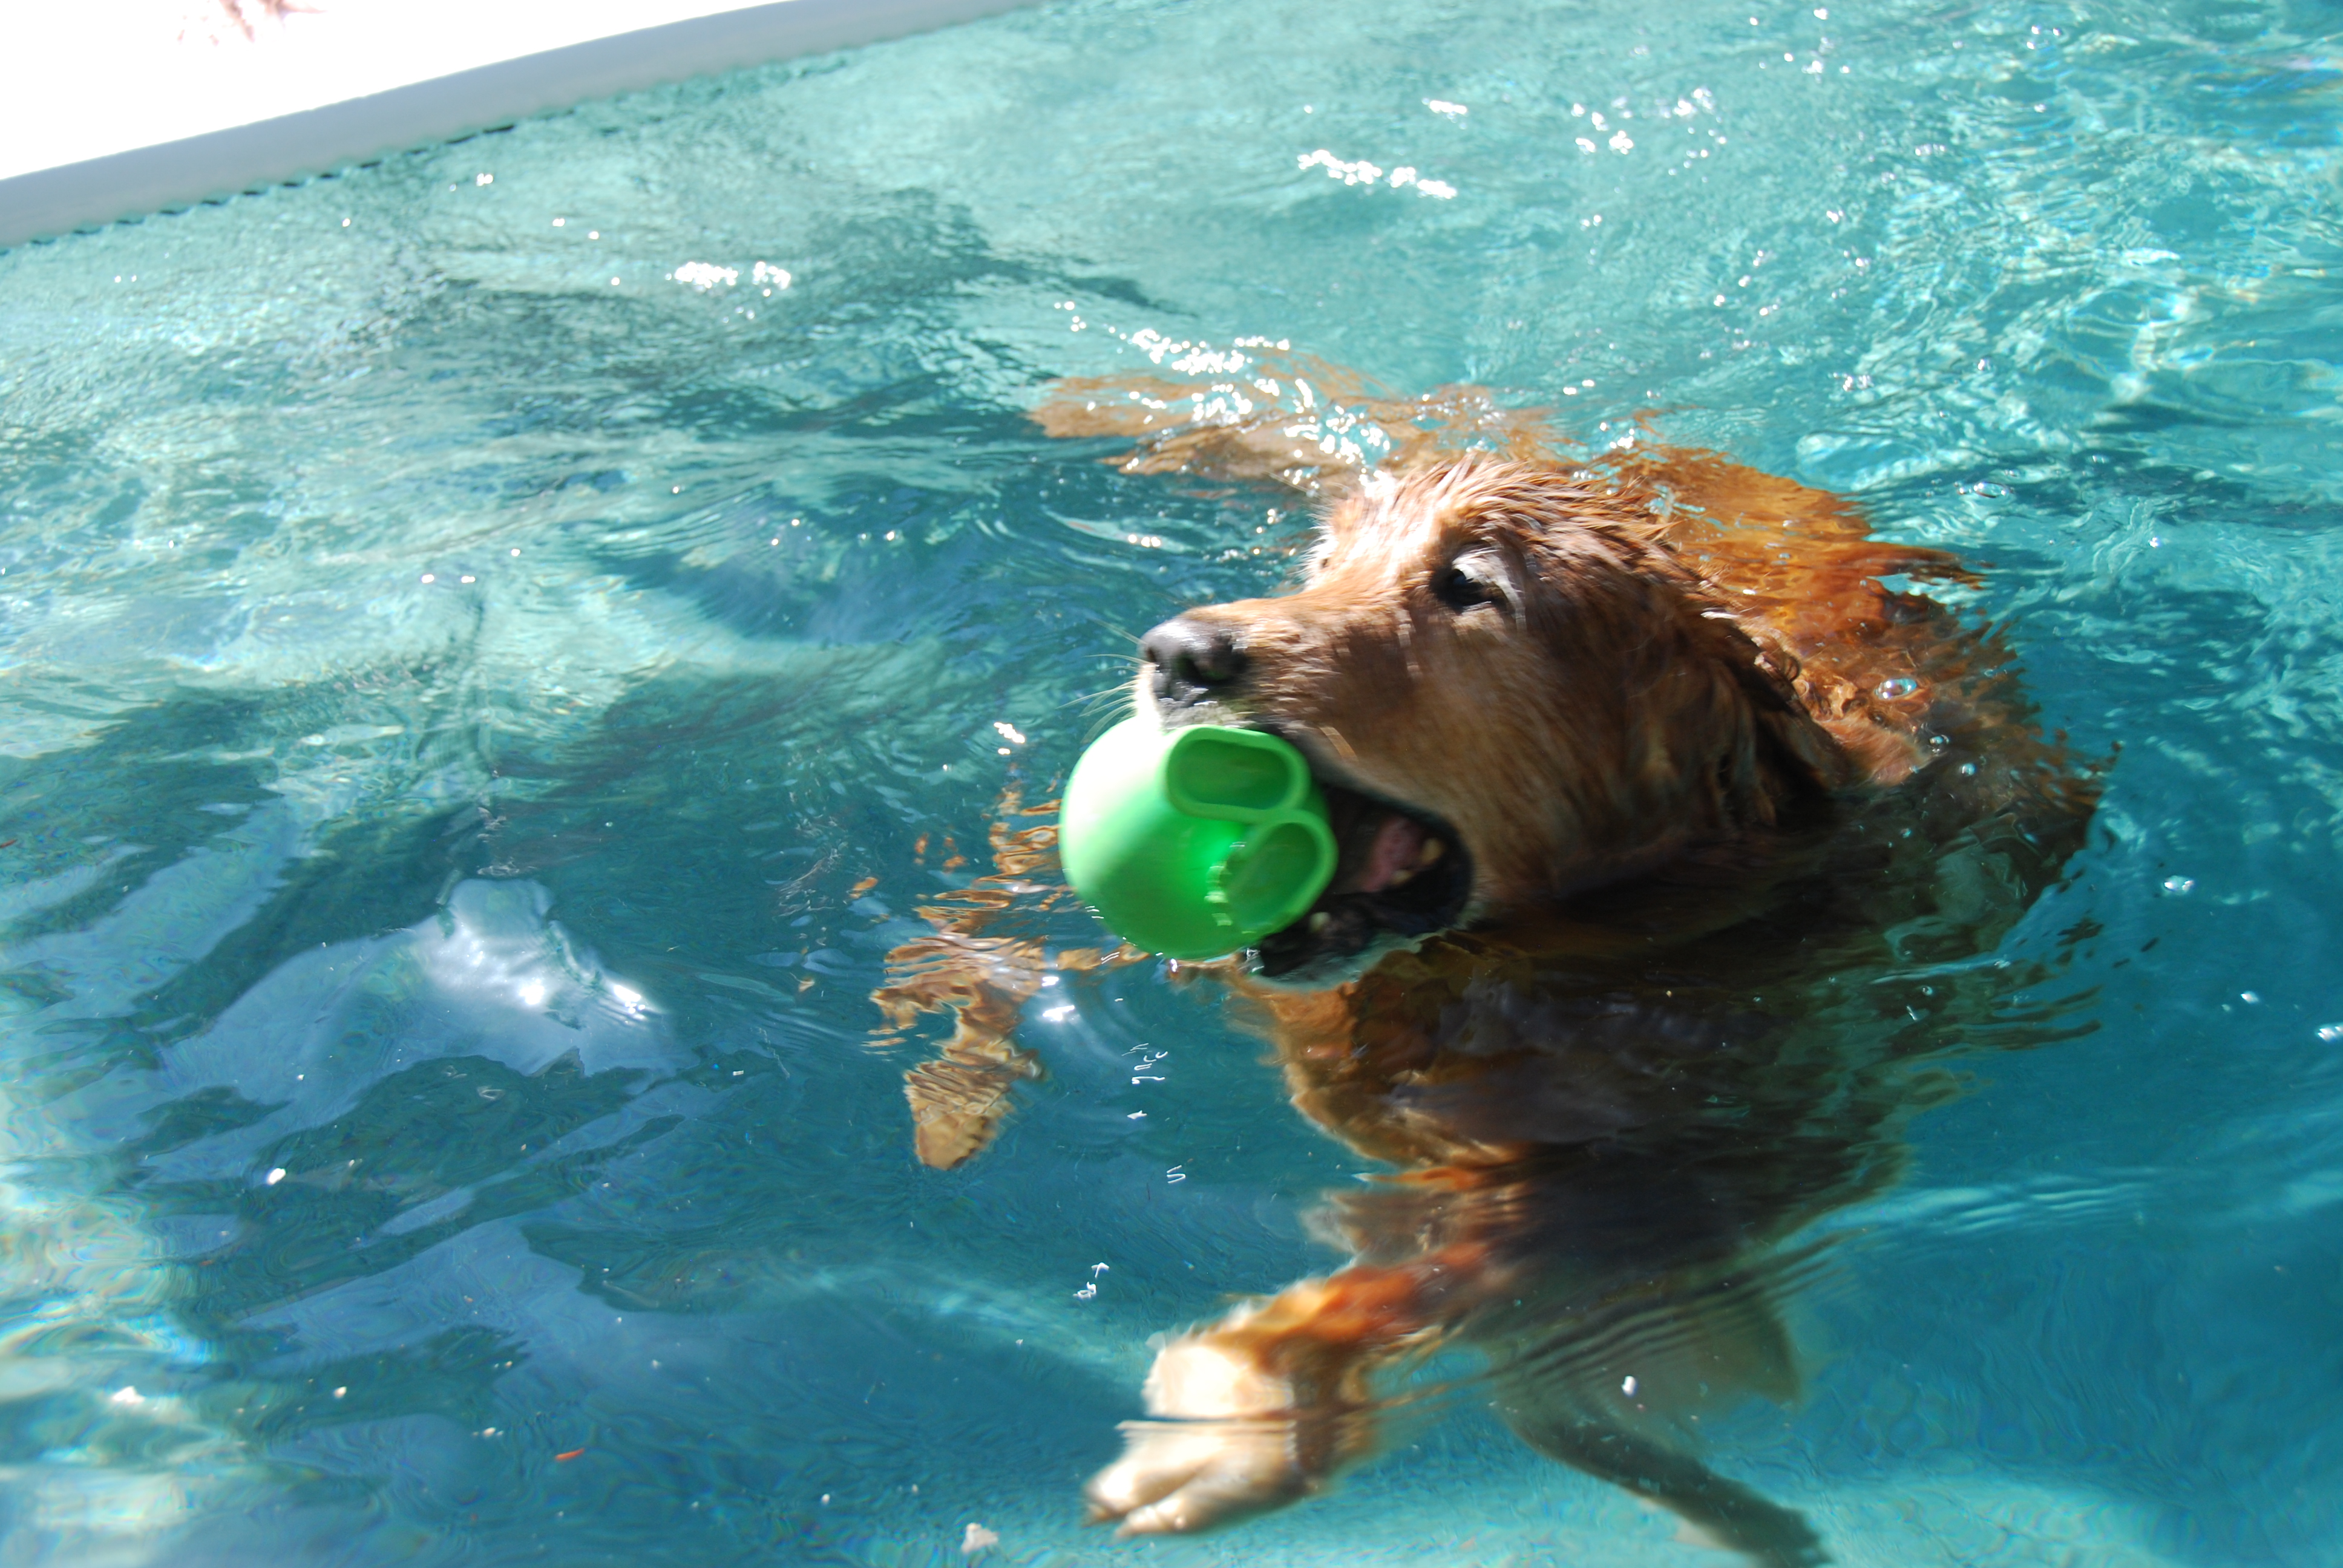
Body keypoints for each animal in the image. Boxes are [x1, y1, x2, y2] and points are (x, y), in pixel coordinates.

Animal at [876, 352, 2096, 1564]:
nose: (1178, 654)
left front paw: (1251, 1396)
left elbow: (1496, 1259)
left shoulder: (1765, 1142)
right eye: (1324, 565)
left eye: (1468, 585)